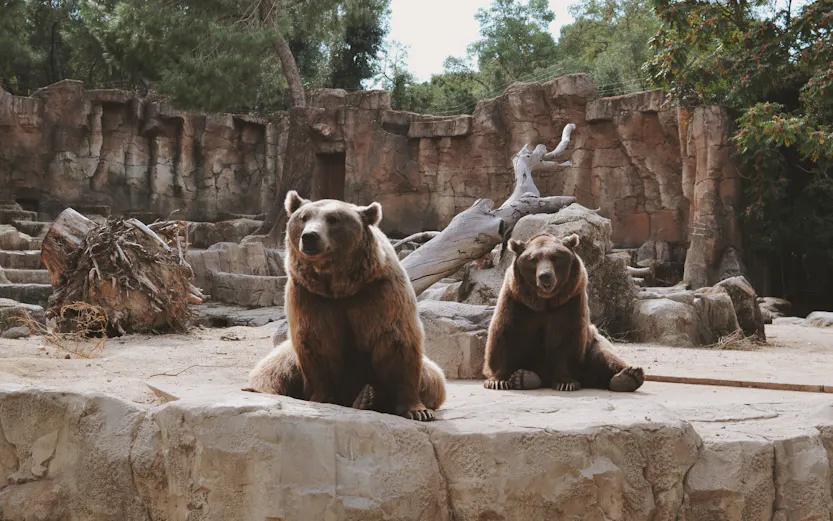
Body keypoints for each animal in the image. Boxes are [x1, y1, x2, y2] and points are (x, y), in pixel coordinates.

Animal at [247, 191, 446, 421]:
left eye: (333, 219)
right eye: (304, 217)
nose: (310, 236)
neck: (340, 286)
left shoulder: (381, 291)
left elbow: (397, 340)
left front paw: (417, 411)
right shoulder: (310, 295)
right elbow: (317, 341)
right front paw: (323, 398)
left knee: (433, 378)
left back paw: (367, 397)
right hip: (285, 360)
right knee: (270, 372)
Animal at [483, 232, 644, 393]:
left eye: (555, 257)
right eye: (533, 259)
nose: (545, 275)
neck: (544, 302)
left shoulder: (569, 302)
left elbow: (565, 340)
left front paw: (566, 383)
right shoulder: (518, 302)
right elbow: (507, 335)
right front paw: (498, 381)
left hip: (592, 344)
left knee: (603, 356)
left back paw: (629, 376)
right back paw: (523, 377)